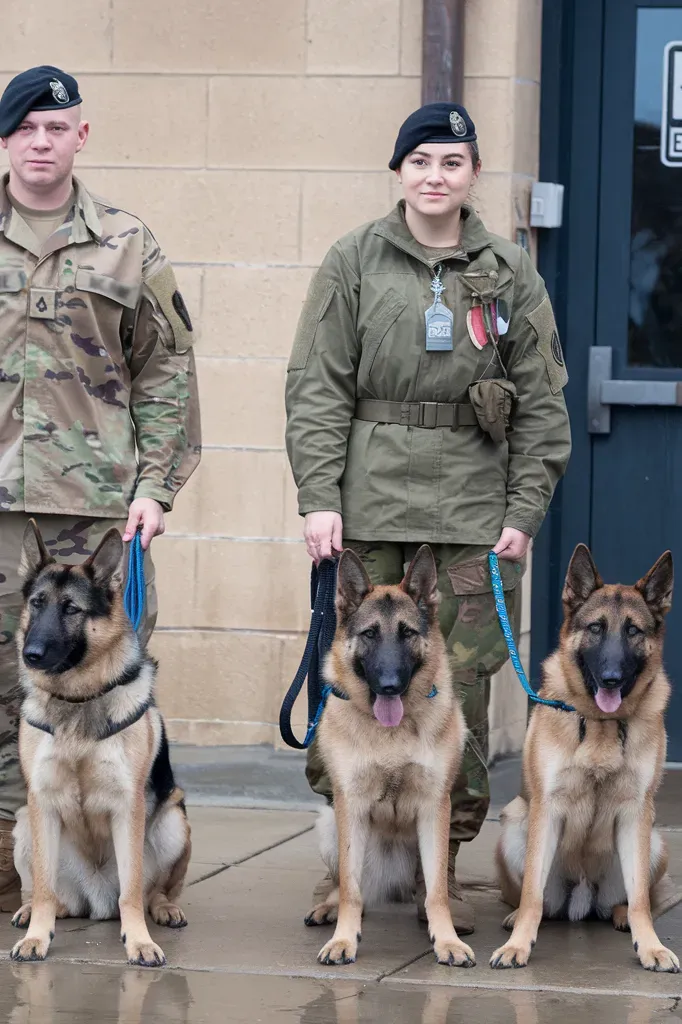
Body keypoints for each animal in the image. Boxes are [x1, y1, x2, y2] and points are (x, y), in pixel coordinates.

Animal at [9, 520, 191, 966]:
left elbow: (132, 891)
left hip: (173, 821)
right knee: (49, 893)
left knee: (150, 891)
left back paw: (163, 908)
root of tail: (95, 901)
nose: (30, 654)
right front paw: (37, 937)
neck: (77, 699)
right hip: (24, 823)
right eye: (37, 603)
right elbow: (42, 887)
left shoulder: (128, 807)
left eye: (71, 609)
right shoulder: (41, 802)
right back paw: (30, 911)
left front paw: (140, 942)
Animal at [303, 544, 473, 966]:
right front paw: (343, 940)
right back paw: (328, 907)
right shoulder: (350, 806)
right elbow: (350, 889)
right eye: (369, 634)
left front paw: (446, 941)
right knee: (348, 884)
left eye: (407, 633)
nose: (390, 685)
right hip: (330, 823)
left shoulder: (435, 808)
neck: (391, 733)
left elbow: (437, 892)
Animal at [491, 540, 675, 970]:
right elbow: (532, 895)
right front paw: (518, 945)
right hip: (514, 826)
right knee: (536, 898)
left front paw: (652, 946)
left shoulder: (636, 812)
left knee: (633, 898)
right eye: (595, 629)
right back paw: (514, 917)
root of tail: (583, 895)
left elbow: (641, 900)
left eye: (633, 631)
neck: (601, 724)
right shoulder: (547, 809)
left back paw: (623, 917)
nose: (611, 679)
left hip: (655, 841)